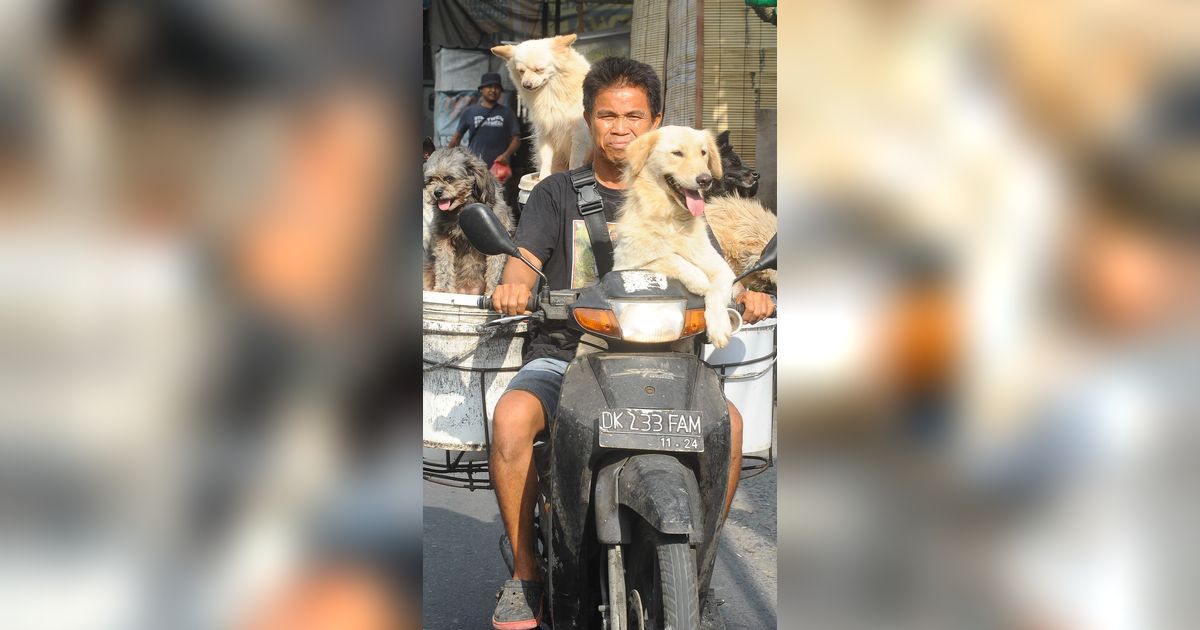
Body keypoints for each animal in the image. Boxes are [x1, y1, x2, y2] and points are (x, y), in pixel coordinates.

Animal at [422, 147, 511, 295]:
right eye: (430, 180)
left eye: (449, 178)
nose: (436, 192)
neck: (462, 208)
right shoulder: (443, 238)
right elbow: (444, 264)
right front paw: (444, 289)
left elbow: (495, 266)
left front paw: (492, 291)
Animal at [489, 34, 592, 177]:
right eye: (521, 71)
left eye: (539, 70)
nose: (526, 84)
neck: (550, 93)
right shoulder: (546, 132)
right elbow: (546, 158)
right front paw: (543, 177)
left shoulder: (580, 133)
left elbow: (575, 161)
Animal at [614, 125, 734, 345]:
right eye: (677, 153)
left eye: (703, 153)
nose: (705, 180)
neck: (671, 220)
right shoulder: (627, 265)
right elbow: (669, 257)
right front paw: (699, 280)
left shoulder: (723, 269)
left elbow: (717, 291)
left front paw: (719, 327)